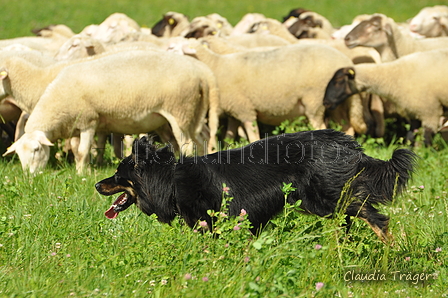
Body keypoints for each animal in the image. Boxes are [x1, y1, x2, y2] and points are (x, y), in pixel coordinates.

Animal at [3, 50, 220, 173]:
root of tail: (202, 71)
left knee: (186, 145)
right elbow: (79, 148)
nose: (29, 177)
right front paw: (83, 167)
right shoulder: (77, 125)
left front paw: (82, 174)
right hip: (193, 113)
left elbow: (82, 151)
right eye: (19, 155)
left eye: (36, 150)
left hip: (179, 111)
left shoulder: (89, 121)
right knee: (201, 140)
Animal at [96, 130, 418, 242]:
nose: (97, 185)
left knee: (377, 218)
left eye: (117, 175)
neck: (171, 180)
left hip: (327, 196)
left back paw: (391, 248)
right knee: (351, 221)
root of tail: (347, 142)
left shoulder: (214, 220)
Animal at [172, 40, 356, 143]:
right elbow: (230, 136)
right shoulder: (234, 111)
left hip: (315, 101)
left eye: (174, 49)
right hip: (337, 104)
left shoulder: (245, 109)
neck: (216, 65)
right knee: (347, 128)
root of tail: (344, 60)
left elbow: (253, 135)